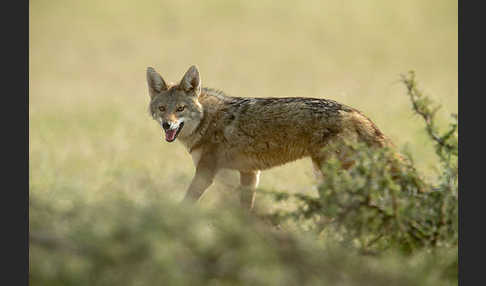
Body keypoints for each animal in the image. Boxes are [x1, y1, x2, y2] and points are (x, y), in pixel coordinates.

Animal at [147, 65, 394, 210]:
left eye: (180, 109)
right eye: (162, 109)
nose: (167, 124)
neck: (207, 119)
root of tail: (356, 113)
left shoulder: (206, 174)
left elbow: (185, 204)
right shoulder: (249, 173)